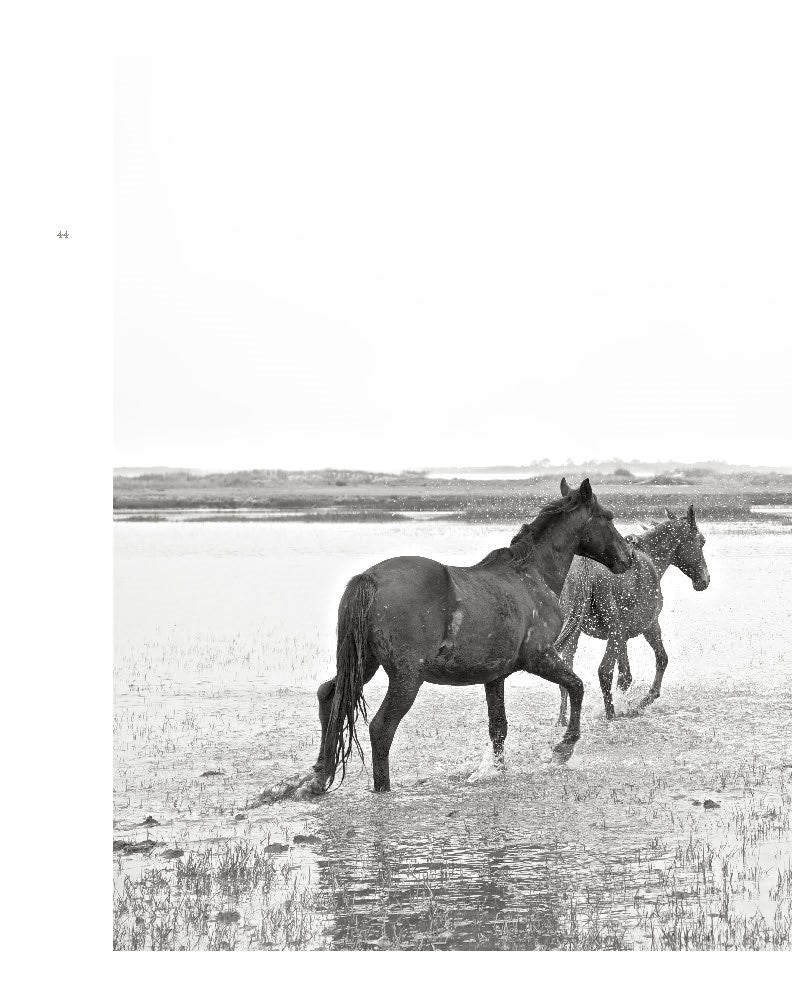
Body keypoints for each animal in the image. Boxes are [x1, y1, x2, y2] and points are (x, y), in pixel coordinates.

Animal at [286, 478, 634, 797]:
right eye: (608, 516)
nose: (627, 557)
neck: (530, 576)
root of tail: (368, 578)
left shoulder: (495, 676)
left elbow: (499, 727)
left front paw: (496, 771)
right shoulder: (539, 657)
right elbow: (576, 686)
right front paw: (564, 749)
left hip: (364, 665)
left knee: (329, 697)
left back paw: (319, 777)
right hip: (407, 679)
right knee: (381, 728)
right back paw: (382, 789)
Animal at [555, 504, 710, 725]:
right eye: (702, 541)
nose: (704, 580)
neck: (651, 557)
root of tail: (587, 567)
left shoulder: (624, 637)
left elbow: (625, 676)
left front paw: (627, 705)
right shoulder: (650, 626)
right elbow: (661, 659)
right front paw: (639, 704)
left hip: (578, 631)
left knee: (568, 673)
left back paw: (562, 720)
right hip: (613, 630)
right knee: (604, 671)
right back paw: (611, 715)